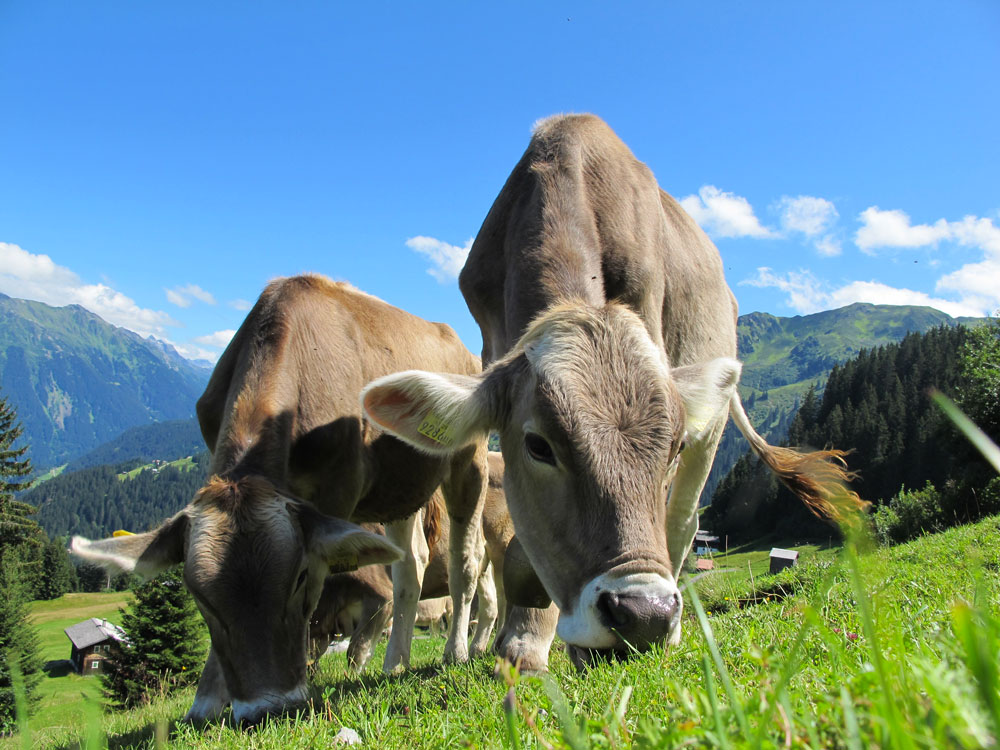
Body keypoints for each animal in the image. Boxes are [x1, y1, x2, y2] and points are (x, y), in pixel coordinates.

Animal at [72, 274, 486, 724]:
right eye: (198, 596)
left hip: (469, 460)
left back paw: (456, 652)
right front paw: (207, 700)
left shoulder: (336, 494)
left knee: (466, 561)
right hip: (399, 488)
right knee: (410, 565)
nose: (266, 708)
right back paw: (395, 662)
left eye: (300, 577)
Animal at [364, 116, 864, 668]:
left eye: (673, 446)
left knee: (683, 521)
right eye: (538, 446)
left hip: (711, 428)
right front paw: (522, 640)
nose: (645, 615)